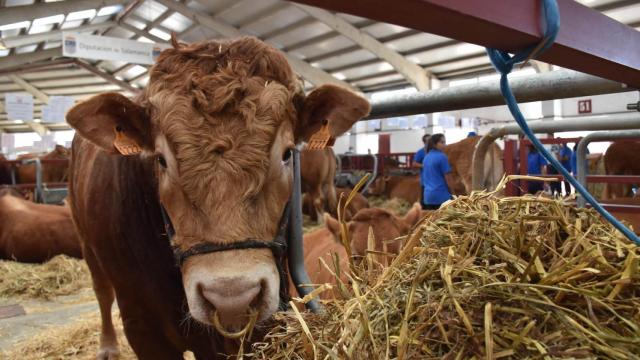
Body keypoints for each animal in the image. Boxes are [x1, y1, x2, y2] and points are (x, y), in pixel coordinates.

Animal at [65, 37, 370, 360]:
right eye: (161, 160)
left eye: (287, 153)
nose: (232, 297)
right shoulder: (142, 326)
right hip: (87, 246)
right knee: (101, 291)